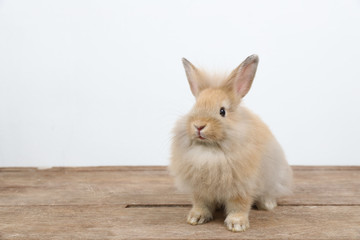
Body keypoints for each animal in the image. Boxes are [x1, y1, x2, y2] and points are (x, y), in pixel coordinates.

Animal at [169, 54, 292, 232]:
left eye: (222, 111)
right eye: (194, 107)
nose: (199, 125)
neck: (210, 150)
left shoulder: (241, 187)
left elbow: (239, 206)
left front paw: (237, 225)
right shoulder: (199, 189)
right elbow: (201, 203)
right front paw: (195, 218)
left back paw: (267, 204)